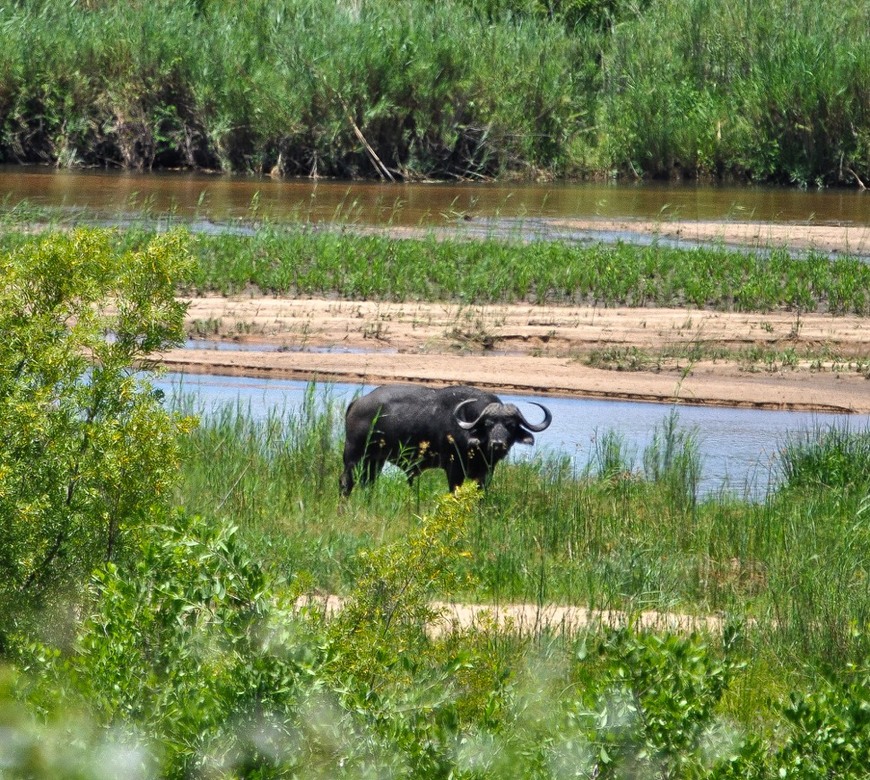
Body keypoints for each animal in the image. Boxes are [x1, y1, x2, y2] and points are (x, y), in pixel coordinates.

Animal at [338, 382, 552, 494]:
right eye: (488, 424)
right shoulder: (454, 469)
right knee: (346, 482)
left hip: (375, 460)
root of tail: (357, 403)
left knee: (368, 482)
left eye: (511, 425)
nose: (498, 444)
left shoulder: (485, 472)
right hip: (353, 455)